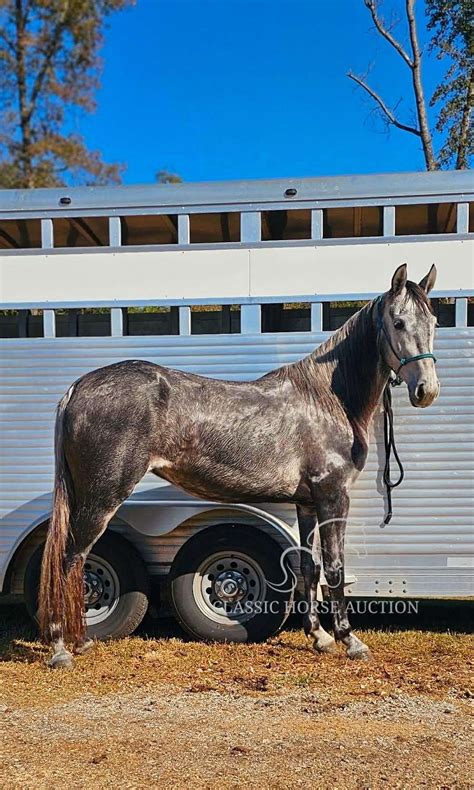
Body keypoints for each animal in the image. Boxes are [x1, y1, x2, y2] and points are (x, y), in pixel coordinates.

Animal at [39, 263, 439, 668]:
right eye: (399, 322)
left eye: (434, 321)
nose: (427, 390)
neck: (327, 399)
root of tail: (77, 388)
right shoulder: (333, 497)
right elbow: (334, 569)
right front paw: (350, 640)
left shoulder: (307, 503)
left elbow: (308, 568)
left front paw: (319, 637)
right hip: (102, 497)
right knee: (69, 560)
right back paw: (61, 648)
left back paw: (80, 642)